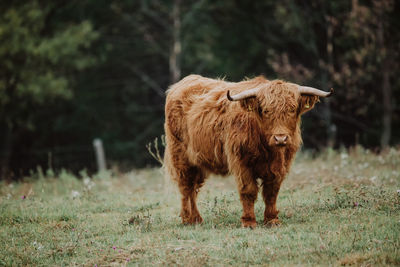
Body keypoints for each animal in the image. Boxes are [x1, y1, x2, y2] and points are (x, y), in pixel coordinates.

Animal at [164, 75, 332, 228]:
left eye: (291, 109)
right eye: (266, 110)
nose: (280, 138)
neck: (269, 150)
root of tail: (183, 82)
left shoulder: (281, 165)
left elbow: (272, 192)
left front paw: (272, 220)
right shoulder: (241, 163)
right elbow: (248, 191)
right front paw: (249, 221)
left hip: (199, 162)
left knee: (194, 188)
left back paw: (196, 218)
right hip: (180, 157)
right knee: (186, 187)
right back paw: (188, 219)